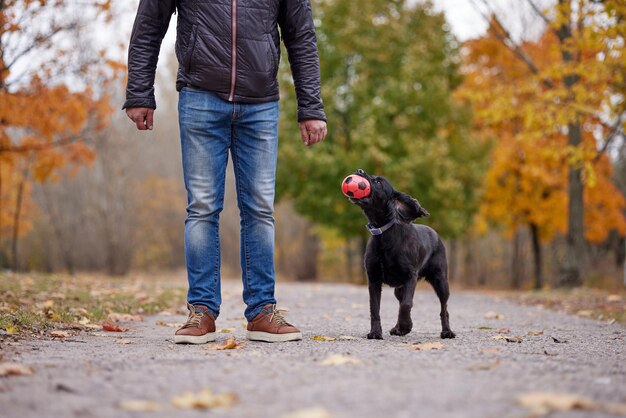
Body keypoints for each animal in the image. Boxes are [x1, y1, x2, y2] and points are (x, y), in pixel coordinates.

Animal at [346, 170, 454, 340]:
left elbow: (406, 304)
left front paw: (405, 326)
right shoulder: (373, 279)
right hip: (399, 288)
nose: (359, 171)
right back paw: (396, 328)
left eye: (378, 182)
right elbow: (375, 308)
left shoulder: (411, 276)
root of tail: (435, 233)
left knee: (444, 308)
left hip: (441, 280)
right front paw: (376, 332)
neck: (384, 234)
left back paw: (447, 331)